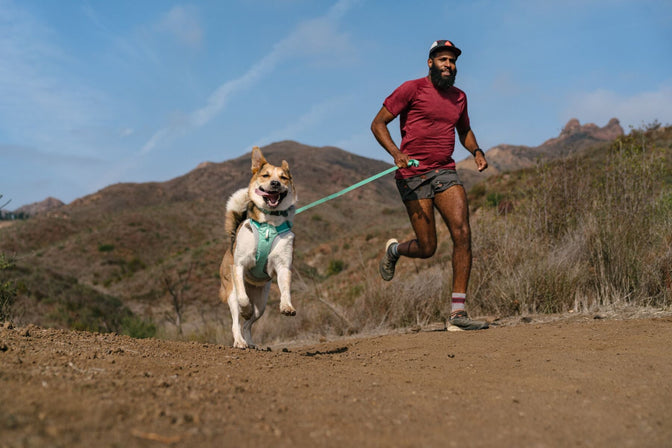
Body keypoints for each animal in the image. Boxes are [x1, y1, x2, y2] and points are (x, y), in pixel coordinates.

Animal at [219, 147, 298, 350]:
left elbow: (285, 288)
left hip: (261, 304)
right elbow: (243, 300)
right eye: (265, 175)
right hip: (231, 292)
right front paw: (245, 309)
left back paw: (251, 342)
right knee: (236, 321)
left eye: (284, 177)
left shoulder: (284, 265)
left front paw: (287, 306)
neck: (269, 224)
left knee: (248, 324)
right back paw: (240, 341)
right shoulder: (239, 265)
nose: (275, 183)